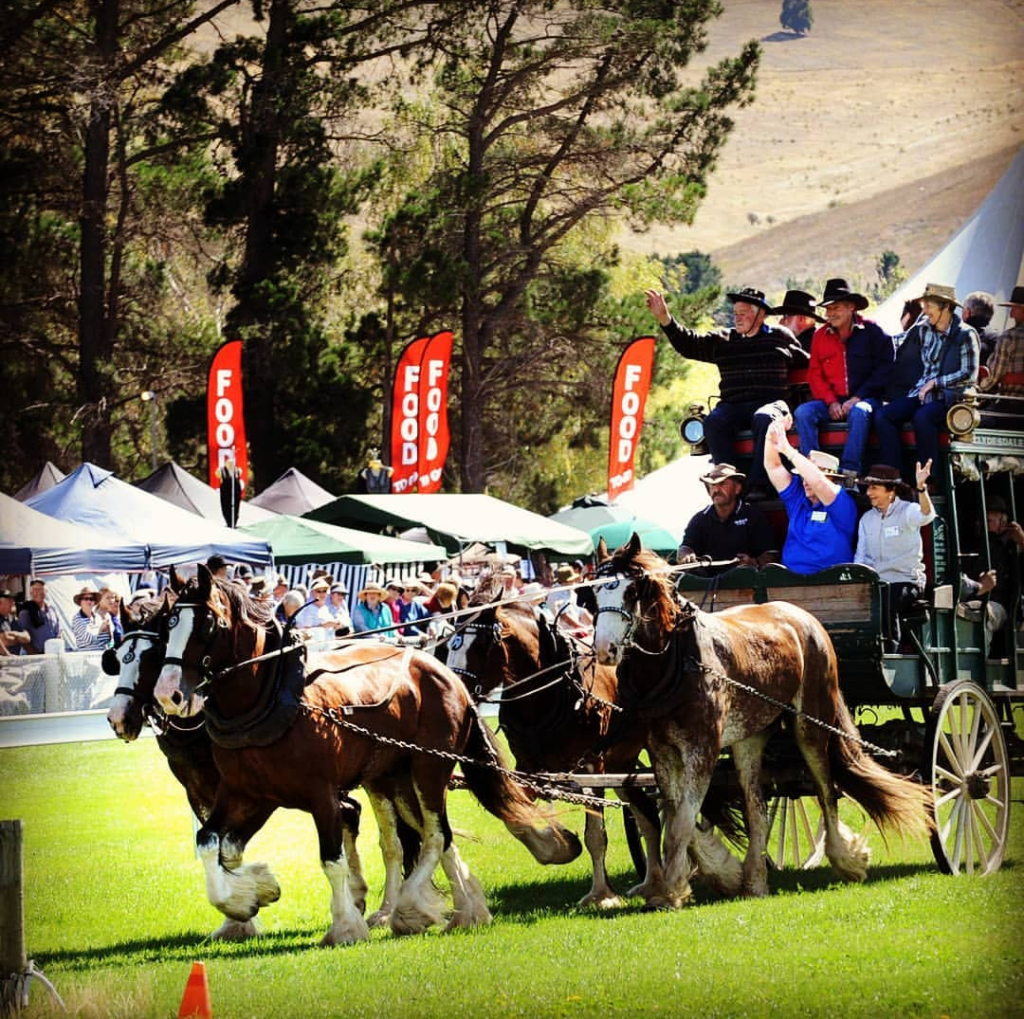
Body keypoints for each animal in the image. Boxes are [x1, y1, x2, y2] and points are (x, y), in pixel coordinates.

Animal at [152, 565, 585, 946]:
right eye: (168, 626)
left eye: (208, 624)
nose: (168, 694)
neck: (272, 696)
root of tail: (447, 674)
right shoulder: (248, 795)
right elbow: (212, 845)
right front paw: (250, 895)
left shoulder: (321, 795)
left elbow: (331, 859)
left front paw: (345, 925)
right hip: (396, 776)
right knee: (436, 838)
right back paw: (467, 910)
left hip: (430, 768)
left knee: (436, 834)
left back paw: (409, 910)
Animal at [593, 532, 937, 909]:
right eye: (593, 593)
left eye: (630, 592)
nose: (604, 649)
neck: (677, 662)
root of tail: (804, 616)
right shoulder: (661, 751)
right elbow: (676, 817)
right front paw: (709, 874)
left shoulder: (702, 748)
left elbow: (682, 821)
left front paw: (672, 891)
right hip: (750, 738)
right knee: (756, 806)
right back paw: (755, 880)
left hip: (811, 726)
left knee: (825, 790)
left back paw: (846, 859)